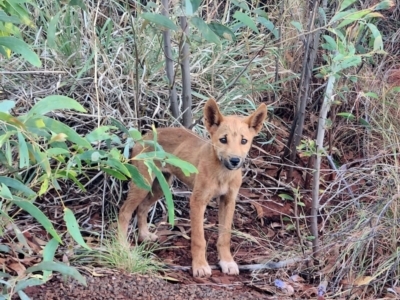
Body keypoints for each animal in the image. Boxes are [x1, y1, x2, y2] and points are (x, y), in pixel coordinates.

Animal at [119, 99, 268, 278]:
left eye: (244, 141)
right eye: (223, 140)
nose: (234, 160)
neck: (222, 173)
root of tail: (144, 137)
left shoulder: (228, 201)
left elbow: (225, 236)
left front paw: (227, 261)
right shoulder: (197, 201)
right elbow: (198, 239)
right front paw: (200, 265)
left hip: (161, 186)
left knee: (142, 208)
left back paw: (144, 235)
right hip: (143, 184)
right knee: (124, 212)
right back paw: (122, 246)